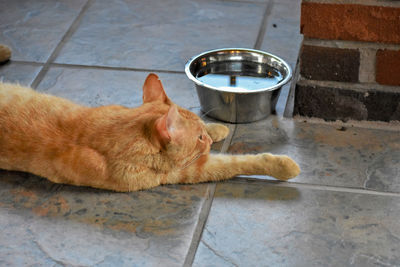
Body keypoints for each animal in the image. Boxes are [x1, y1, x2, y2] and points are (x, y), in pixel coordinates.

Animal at [0, 73, 300, 192]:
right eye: (198, 139)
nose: (206, 138)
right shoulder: (185, 172)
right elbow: (236, 164)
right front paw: (285, 166)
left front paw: (216, 127)